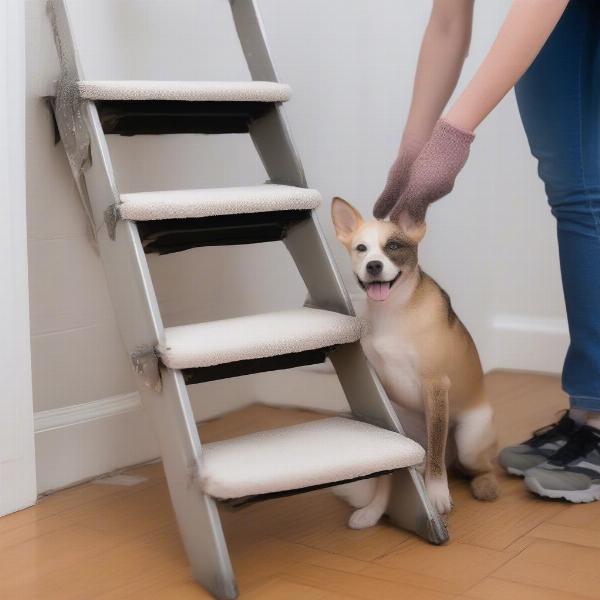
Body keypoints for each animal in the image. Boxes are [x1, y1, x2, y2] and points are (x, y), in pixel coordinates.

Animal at [330, 198, 500, 528]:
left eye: (393, 245)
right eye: (361, 248)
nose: (373, 266)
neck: (394, 311)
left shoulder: (434, 385)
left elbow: (435, 455)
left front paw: (436, 495)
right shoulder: (383, 398)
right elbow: (389, 473)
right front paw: (375, 509)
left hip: (469, 441)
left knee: (475, 465)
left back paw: (482, 484)